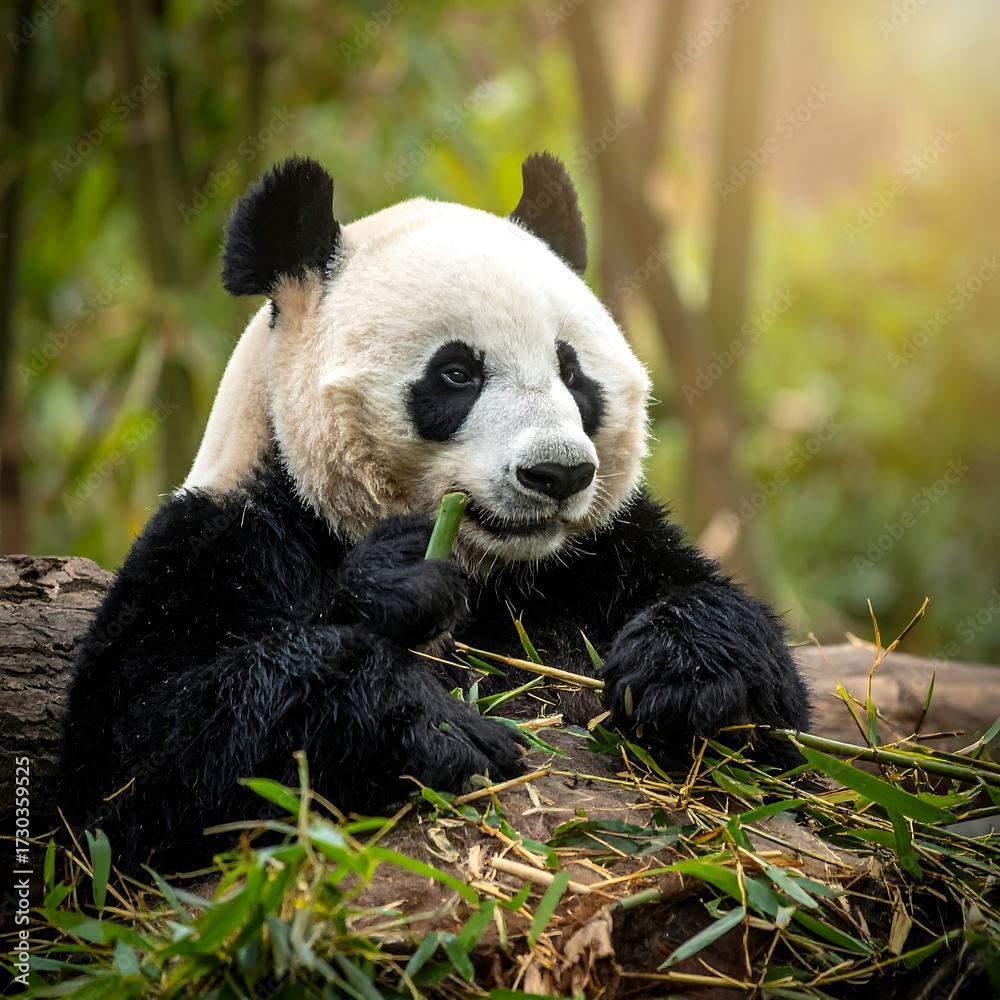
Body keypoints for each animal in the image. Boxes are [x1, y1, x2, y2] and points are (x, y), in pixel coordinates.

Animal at [62, 153, 809, 878]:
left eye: (573, 374)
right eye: (456, 373)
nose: (559, 473)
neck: (499, 576)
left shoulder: (605, 555)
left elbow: (780, 734)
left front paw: (679, 672)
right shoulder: (220, 547)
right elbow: (132, 773)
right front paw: (427, 703)